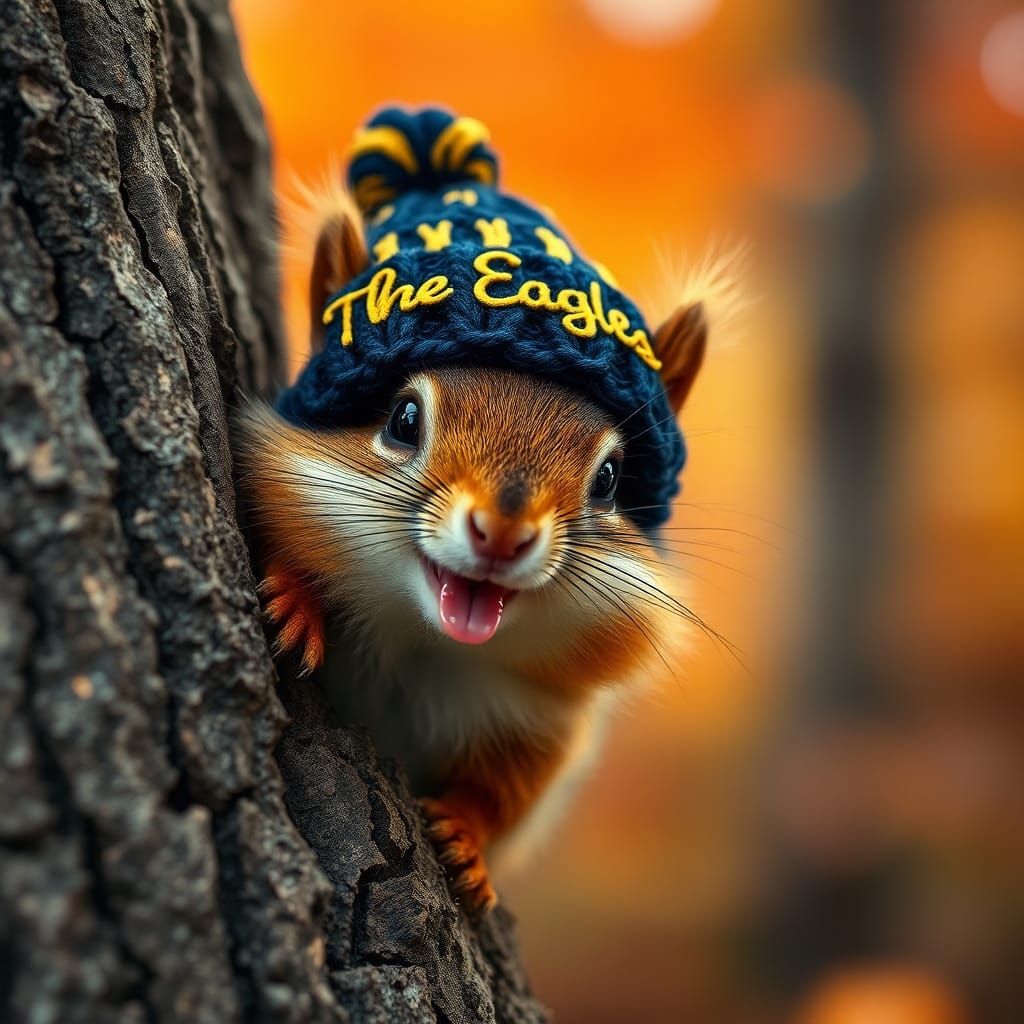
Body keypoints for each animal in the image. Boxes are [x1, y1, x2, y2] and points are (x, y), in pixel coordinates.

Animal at [239, 107, 709, 915]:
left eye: (611, 478)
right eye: (402, 419)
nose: (502, 533)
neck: (424, 643)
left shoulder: (537, 728)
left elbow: (504, 798)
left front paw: (467, 838)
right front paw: (294, 598)